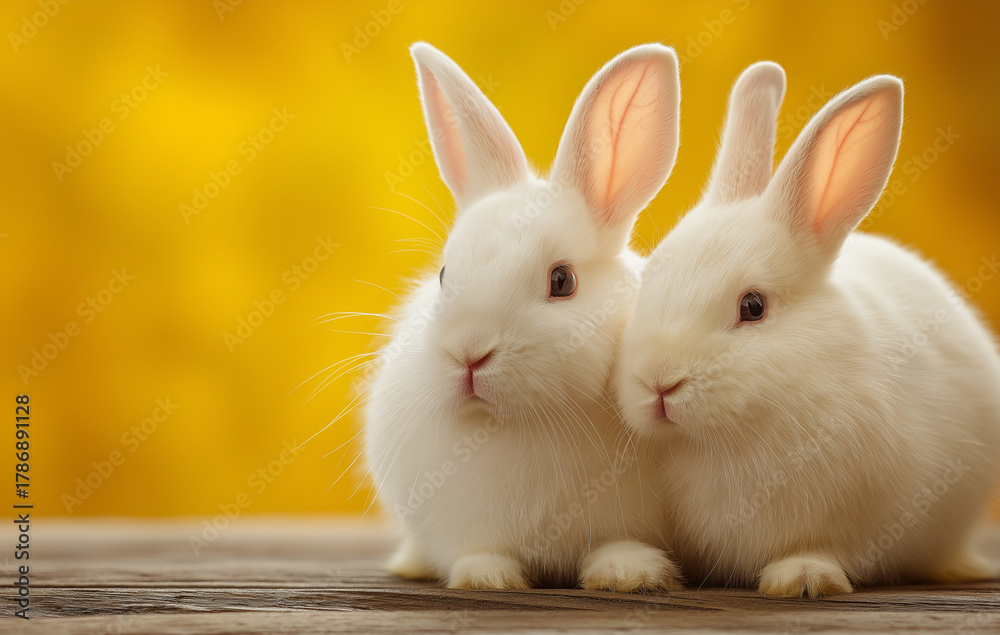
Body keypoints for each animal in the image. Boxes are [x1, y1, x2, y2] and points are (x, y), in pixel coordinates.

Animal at [363, 42, 684, 591]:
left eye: (563, 281)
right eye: (445, 274)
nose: (469, 354)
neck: (518, 422)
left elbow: (617, 544)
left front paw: (628, 572)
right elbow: (477, 550)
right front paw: (487, 576)